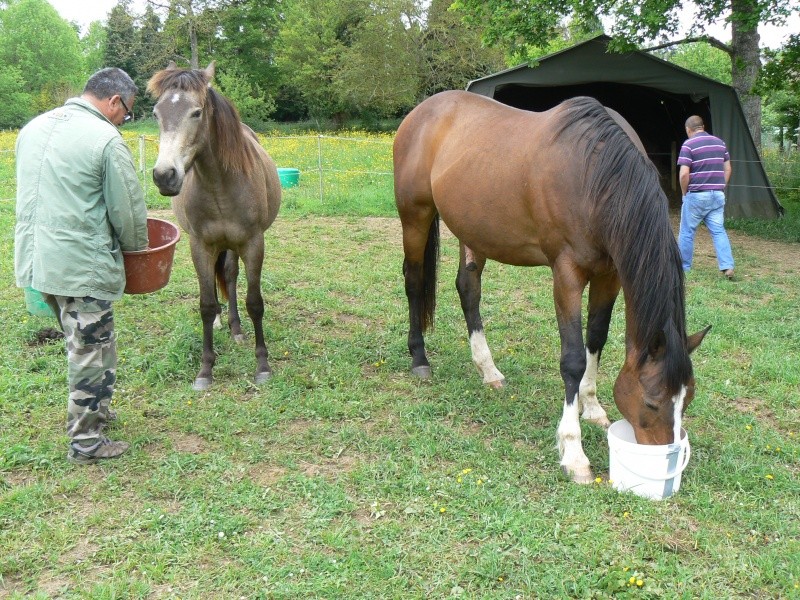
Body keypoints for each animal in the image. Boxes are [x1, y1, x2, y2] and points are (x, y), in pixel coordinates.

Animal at [147, 63, 282, 392]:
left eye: (196, 112)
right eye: (156, 113)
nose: (164, 175)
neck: (220, 183)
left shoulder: (254, 244)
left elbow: (255, 302)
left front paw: (262, 365)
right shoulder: (200, 246)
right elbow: (206, 305)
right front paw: (205, 369)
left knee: (231, 277)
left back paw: (235, 328)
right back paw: (223, 321)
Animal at [390, 90, 708, 482]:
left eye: (688, 398)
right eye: (652, 401)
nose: (666, 455)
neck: (597, 175)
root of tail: (422, 111)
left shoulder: (609, 275)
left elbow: (596, 340)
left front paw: (592, 406)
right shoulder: (567, 275)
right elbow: (572, 359)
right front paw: (574, 453)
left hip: (472, 230)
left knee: (468, 288)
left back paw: (488, 369)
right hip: (415, 215)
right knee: (414, 282)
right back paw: (419, 358)